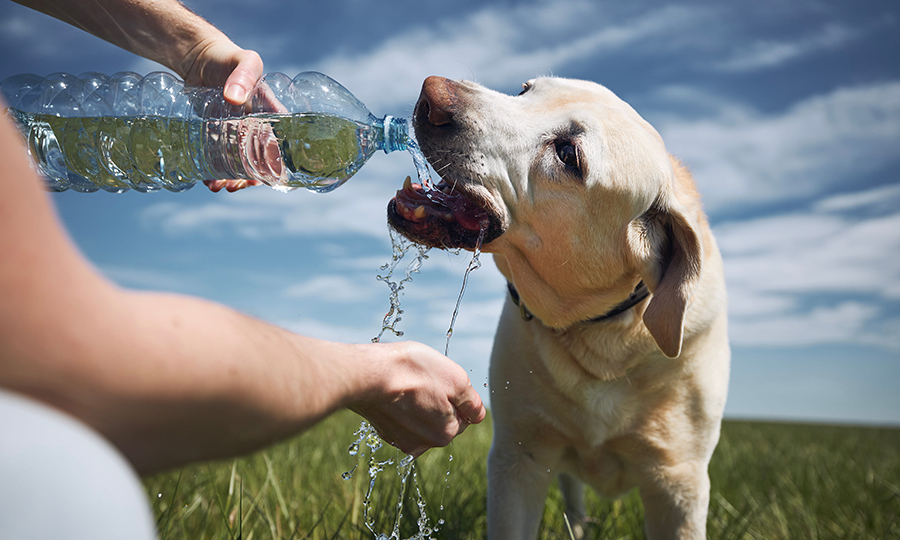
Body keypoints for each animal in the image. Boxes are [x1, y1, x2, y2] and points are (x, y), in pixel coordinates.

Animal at [388, 76, 732, 540]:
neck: (602, 338)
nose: (431, 94)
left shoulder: (680, 483)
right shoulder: (518, 459)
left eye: (568, 155)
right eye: (524, 90)